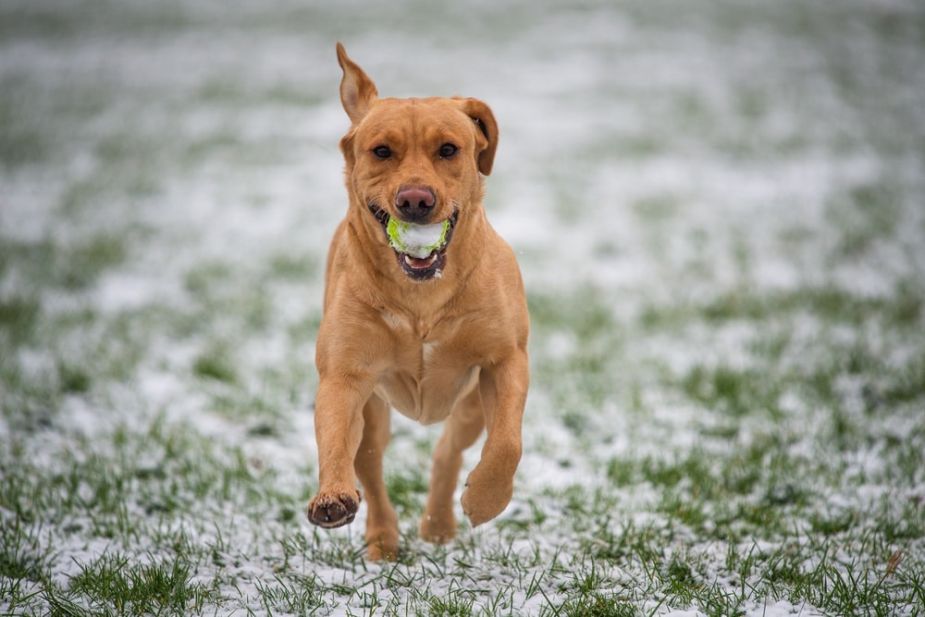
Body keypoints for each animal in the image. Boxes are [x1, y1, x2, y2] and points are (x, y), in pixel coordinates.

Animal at [306, 45, 528, 560]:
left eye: (448, 149)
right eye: (381, 151)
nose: (414, 200)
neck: (422, 296)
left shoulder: (506, 359)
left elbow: (507, 442)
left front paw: (486, 499)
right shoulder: (345, 374)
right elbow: (333, 434)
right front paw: (331, 497)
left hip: (469, 405)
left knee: (450, 449)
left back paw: (441, 522)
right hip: (375, 412)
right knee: (369, 463)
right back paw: (383, 538)